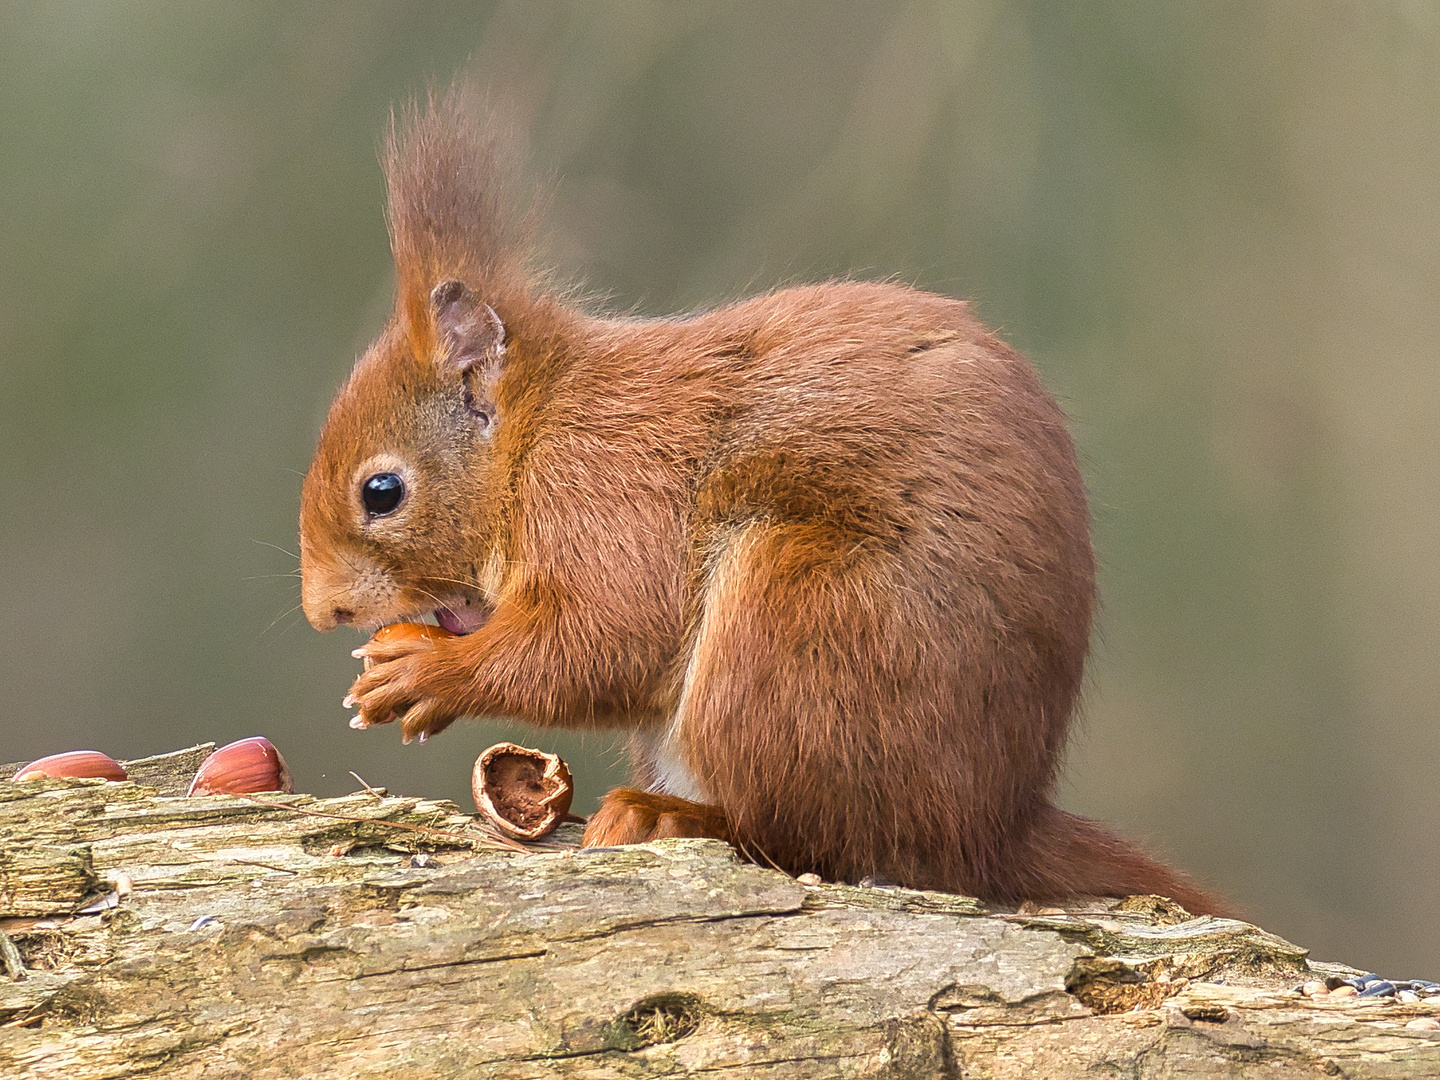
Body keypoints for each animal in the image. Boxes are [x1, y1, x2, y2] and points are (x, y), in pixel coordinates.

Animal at [298, 95, 1221, 915]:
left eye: (382, 492)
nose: (321, 611)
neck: (536, 433)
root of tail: (988, 828)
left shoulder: (603, 494)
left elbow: (602, 641)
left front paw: (425, 673)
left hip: (795, 627)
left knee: (808, 835)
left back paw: (668, 816)